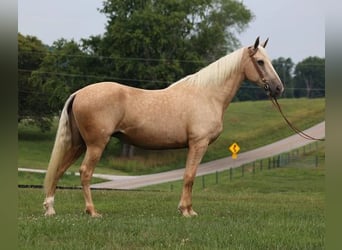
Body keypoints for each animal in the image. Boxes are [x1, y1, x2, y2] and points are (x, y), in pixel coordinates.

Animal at [42, 37, 284, 217]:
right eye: (260, 62)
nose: (278, 88)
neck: (207, 94)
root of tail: (79, 92)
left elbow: (188, 176)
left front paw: (186, 209)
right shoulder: (198, 144)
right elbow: (190, 176)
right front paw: (187, 211)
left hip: (78, 144)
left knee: (59, 170)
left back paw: (50, 209)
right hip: (95, 145)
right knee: (85, 173)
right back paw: (92, 212)